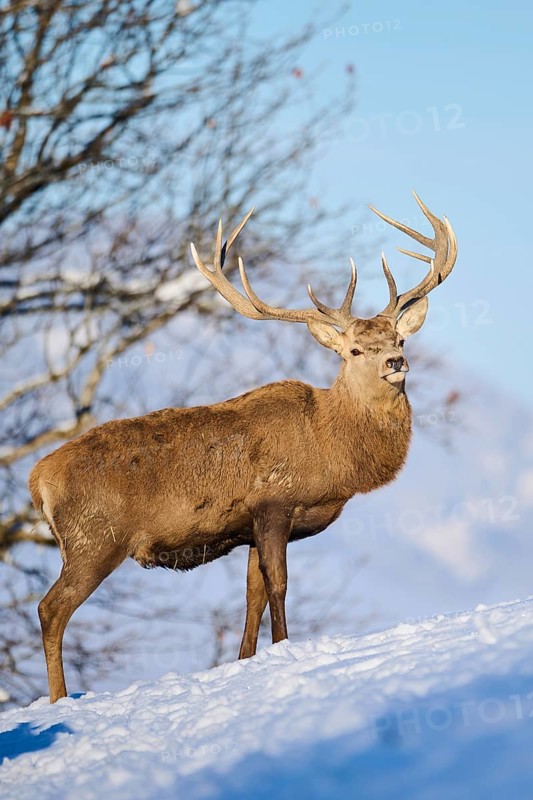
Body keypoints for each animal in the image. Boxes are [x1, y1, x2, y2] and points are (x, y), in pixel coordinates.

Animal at [29, 192, 457, 702]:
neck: (329, 449)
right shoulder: (274, 502)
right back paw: (58, 699)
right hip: (94, 538)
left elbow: (252, 594)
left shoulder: (249, 525)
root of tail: (36, 480)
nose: (395, 362)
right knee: (51, 608)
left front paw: (246, 660)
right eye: (354, 350)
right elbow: (279, 586)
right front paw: (285, 647)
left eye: (399, 338)